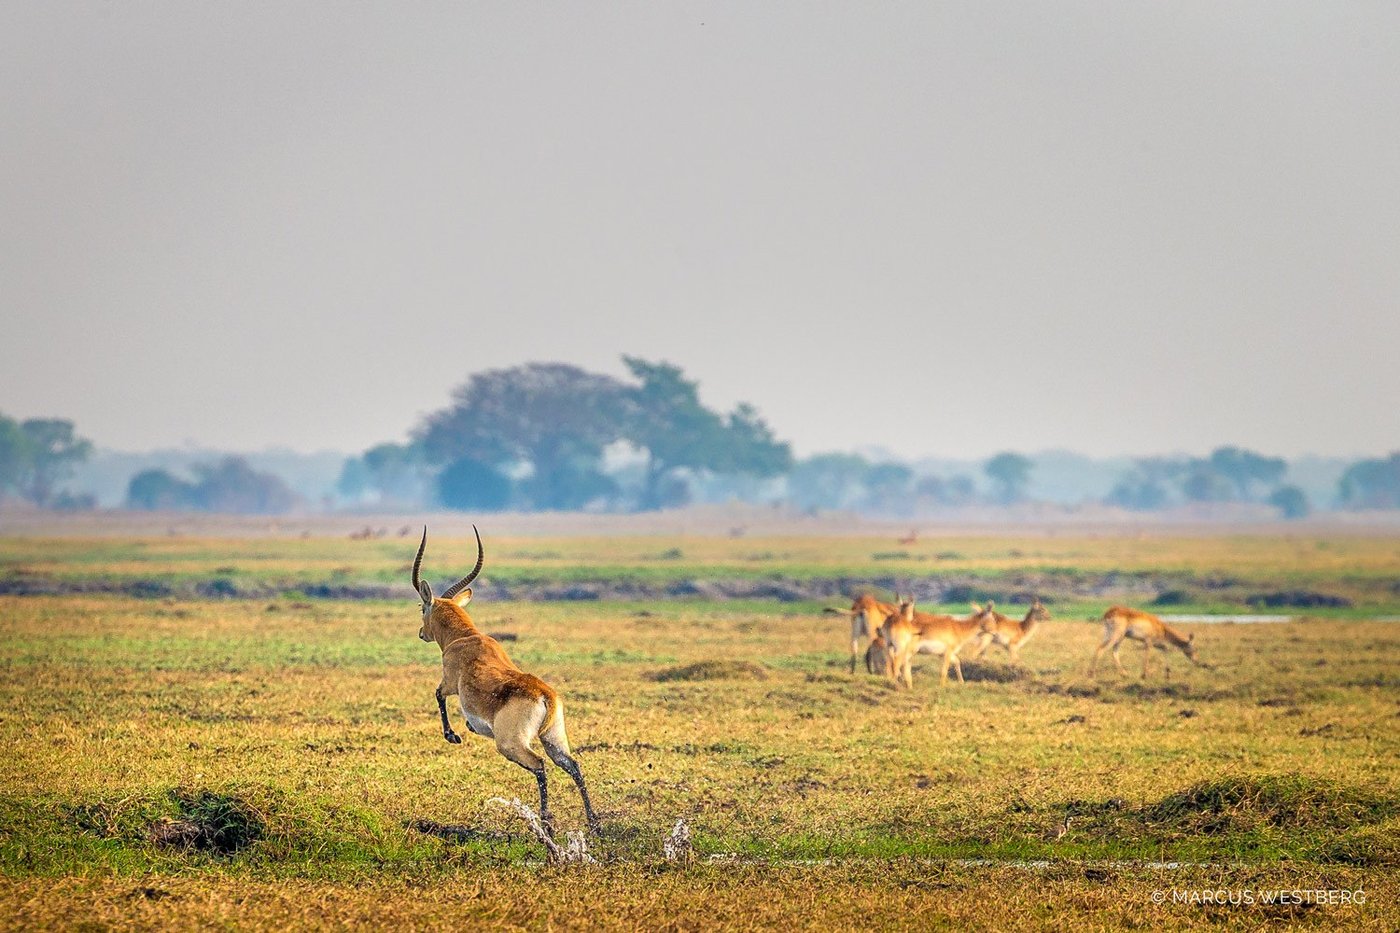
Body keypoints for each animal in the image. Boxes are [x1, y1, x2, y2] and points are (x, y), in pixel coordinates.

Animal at [413, 526, 599, 832]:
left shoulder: (449, 682)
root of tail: (545, 696)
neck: (464, 638)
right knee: (573, 765)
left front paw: (453, 735)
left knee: (539, 765)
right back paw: (594, 823)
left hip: (511, 745)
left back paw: (546, 822)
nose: (421, 633)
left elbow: (438, 694)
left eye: (422, 608)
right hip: (553, 739)